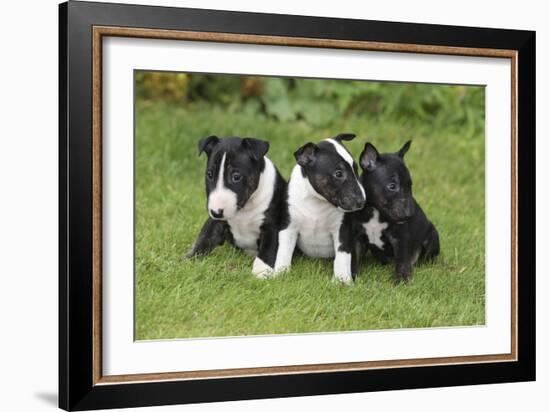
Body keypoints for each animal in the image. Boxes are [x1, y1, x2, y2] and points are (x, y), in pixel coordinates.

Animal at [184, 137, 288, 278]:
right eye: (209, 175)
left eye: (236, 177)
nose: (216, 212)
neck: (244, 208)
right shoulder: (216, 222)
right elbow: (204, 239)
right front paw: (188, 260)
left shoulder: (271, 226)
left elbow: (268, 247)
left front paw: (261, 271)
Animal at [274, 133, 366, 284]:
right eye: (338, 173)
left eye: (356, 169)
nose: (362, 201)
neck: (316, 201)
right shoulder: (289, 226)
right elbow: (284, 251)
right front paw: (280, 274)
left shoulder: (342, 230)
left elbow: (342, 255)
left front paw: (341, 280)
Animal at [356, 140, 442, 282]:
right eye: (392, 186)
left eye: (410, 185)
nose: (410, 215)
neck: (376, 212)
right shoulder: (359, 237)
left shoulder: (400, 239)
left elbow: (402, 261)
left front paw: (402, 279)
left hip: (432, 236)